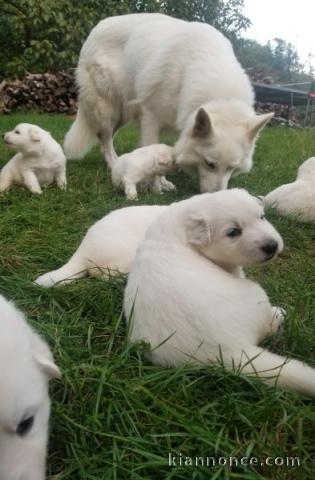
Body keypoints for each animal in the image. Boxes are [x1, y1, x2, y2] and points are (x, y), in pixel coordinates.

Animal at [65, 12, 274, 191]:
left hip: (123, 112)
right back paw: (114, 163)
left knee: (103, 138)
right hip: (108, 109)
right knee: (105, 139)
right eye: (210, 164)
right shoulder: (150, 118)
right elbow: (153, 153)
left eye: (232, 168)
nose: (216, 196)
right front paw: (159, 183)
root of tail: (96, 29)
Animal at [124, 188, 315, 398]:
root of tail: (228, 353)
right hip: (256, 294)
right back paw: (278, 314)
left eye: (262, 217)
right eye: (233, 232)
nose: (272, 246)